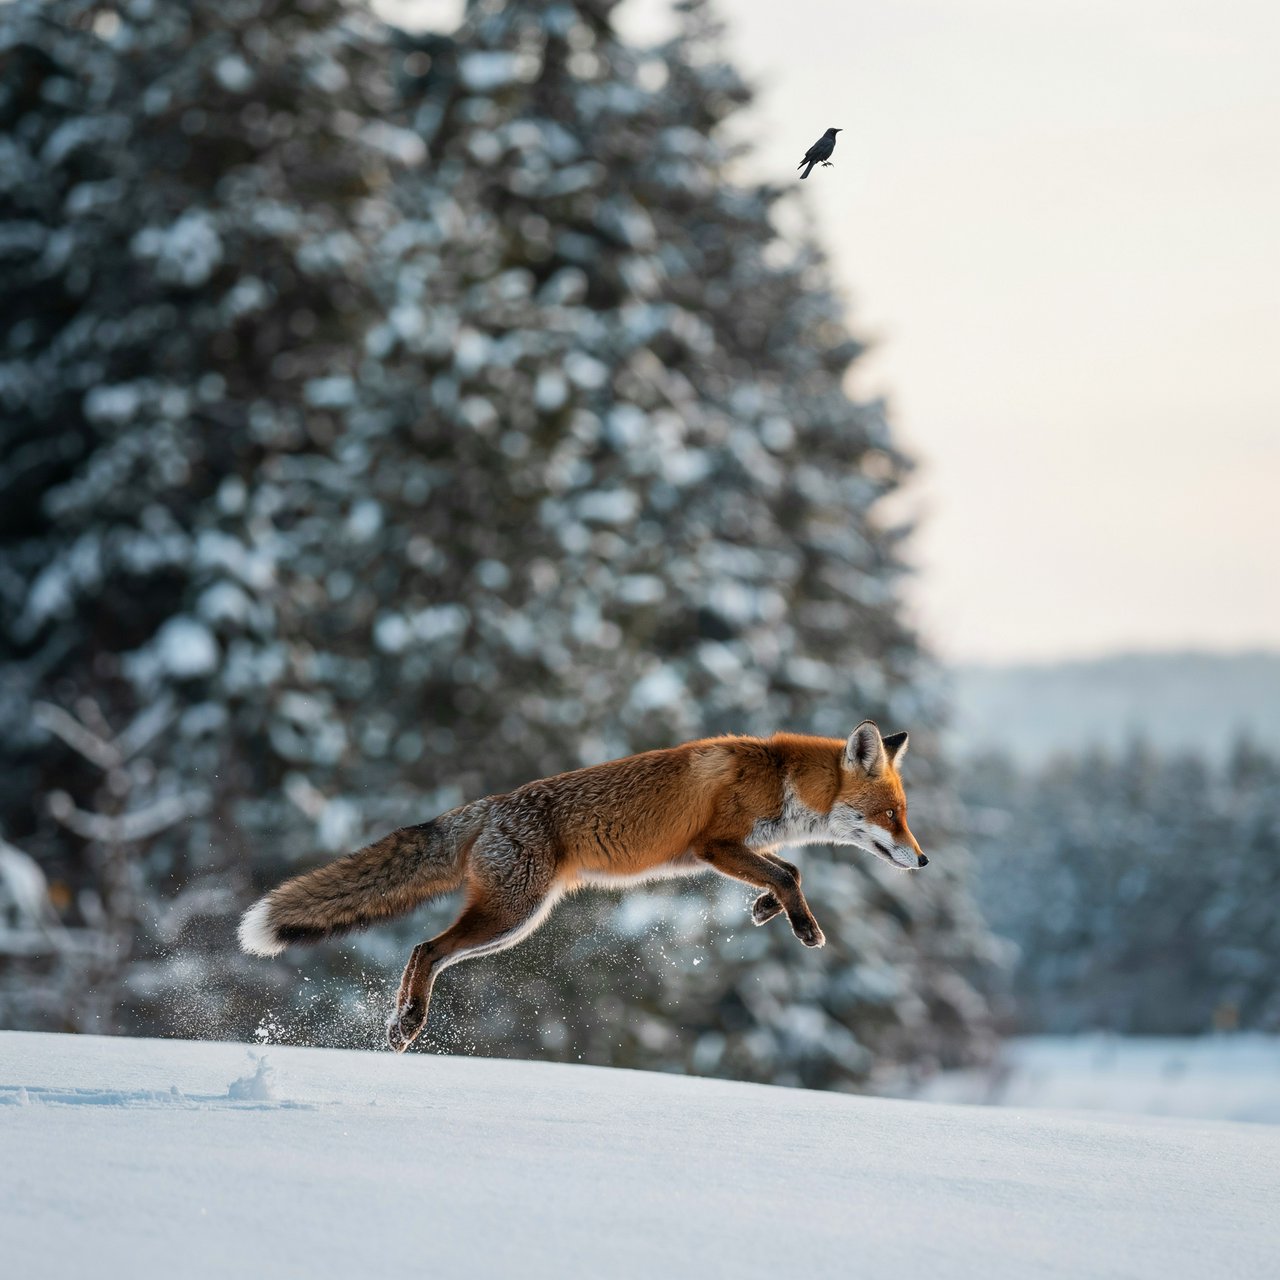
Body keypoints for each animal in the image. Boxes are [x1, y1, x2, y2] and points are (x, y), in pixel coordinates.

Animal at [238, 719, 925, 1052]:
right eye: (893, 814)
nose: (922, 860)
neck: (780, 778)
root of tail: (488, 807)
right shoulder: (714, 845)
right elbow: (790, 871)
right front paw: (803, 926)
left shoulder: (731, 852)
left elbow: (787, 872)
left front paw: (763, 910)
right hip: (512, 914)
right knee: (426, 948)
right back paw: (407, 1024)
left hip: (515, 922)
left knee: (422, 950)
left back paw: (396, 1027)